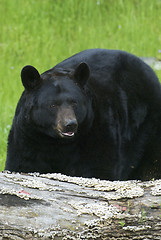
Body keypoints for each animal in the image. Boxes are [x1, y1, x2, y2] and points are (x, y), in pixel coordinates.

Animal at [5, 49, 161, 180]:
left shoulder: (97, 132)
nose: (70, 124)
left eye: (74, 102)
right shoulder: (28, 137)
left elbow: (99, 170)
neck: (56, 143)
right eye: (52, 105)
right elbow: (21, 164)